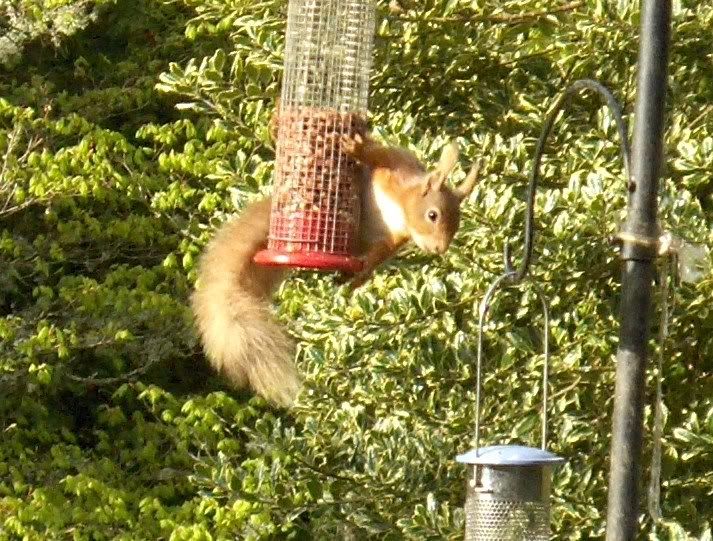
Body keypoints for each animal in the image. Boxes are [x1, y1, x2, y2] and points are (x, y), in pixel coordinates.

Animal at [191, 123, 478, 404]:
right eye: (433, 215)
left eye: (457, 225)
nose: (439, 249)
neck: (401, 207)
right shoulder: (394, 166)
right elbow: (377, 155)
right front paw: (357, 148)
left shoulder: (392, 239)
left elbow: (378, 255)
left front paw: (362, 271)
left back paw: (350, 276)